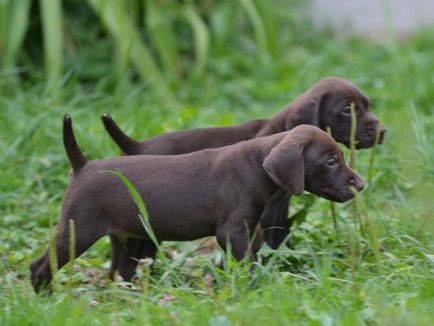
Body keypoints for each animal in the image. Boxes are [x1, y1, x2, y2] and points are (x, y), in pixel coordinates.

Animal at [28, 116, 364, 292]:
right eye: (331, 161)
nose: (360, 184)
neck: (256, 165)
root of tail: (82, 165)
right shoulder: (231, 231)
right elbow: (243, 262)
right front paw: (248, 287)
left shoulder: (248, 228)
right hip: (78, 229)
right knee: (41, 265)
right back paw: (45, 296)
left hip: (122, 237)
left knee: (119, 272)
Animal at [102, 76, 386, 280]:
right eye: (347, 110)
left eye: (368, 105)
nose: (382, 131)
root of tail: (136, 145)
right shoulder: (265, 210)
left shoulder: (277, 207)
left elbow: (279, 237)